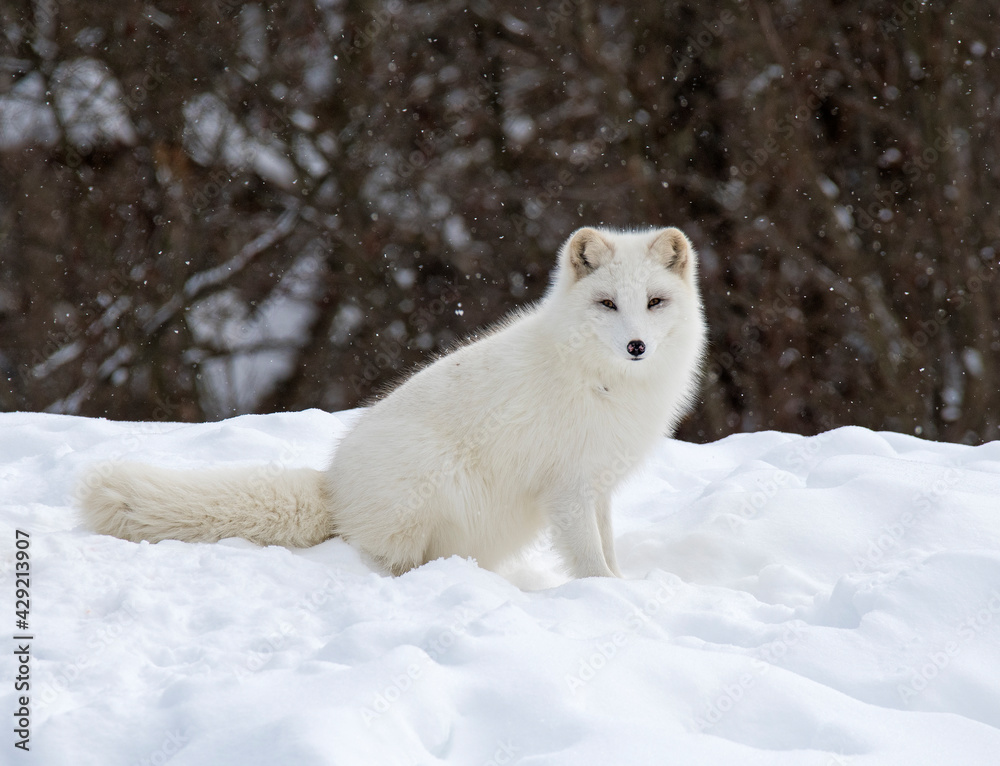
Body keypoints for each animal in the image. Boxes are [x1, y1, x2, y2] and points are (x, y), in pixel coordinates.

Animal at [79, 226, 707, 578]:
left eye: (654, 302)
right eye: (607, 303)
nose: (636, 345)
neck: (601, 381)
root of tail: (335, 488)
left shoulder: (597, 486)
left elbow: (609, 551)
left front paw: (623, 588)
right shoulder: (569, 489)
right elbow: (592, 563)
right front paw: (609, 601)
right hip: (431, 486)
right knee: (384, 557)